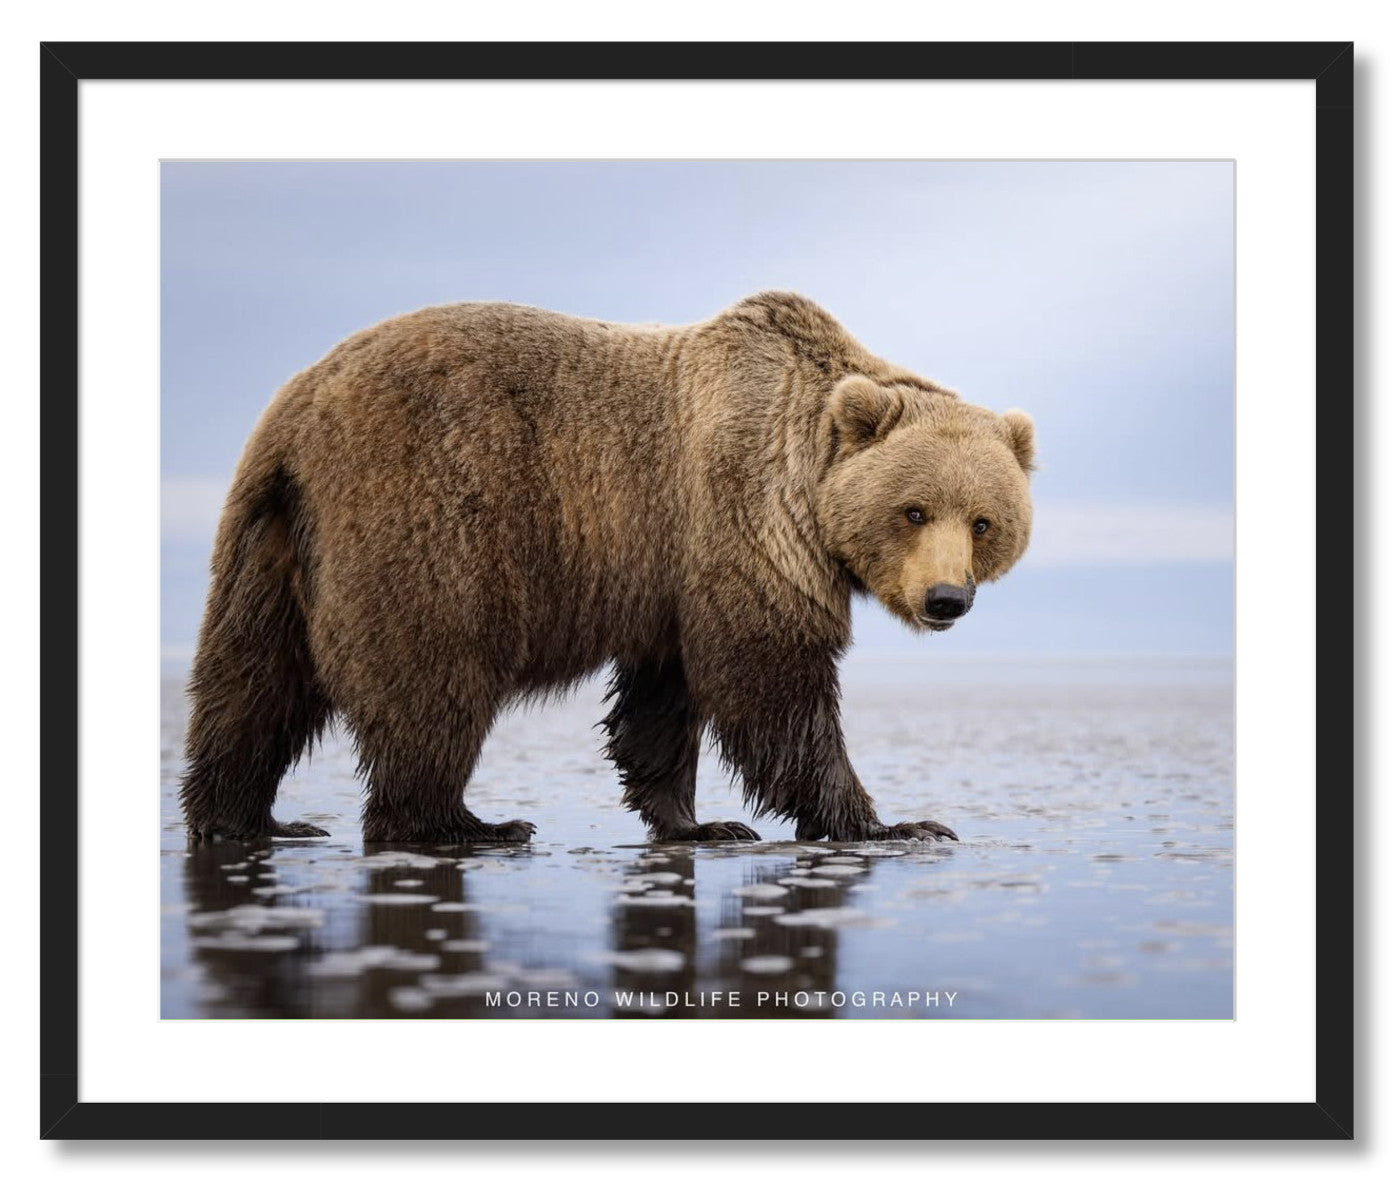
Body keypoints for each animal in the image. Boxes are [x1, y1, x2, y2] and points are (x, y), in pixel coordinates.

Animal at [179, 292, 1035, 845]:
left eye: (984, 521)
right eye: (914, 510)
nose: (946, 598)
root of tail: (298, 411)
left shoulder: (669, 573)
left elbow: (664, 698)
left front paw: (698, 822)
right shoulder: (742, 518)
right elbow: (771, 679)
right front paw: (896, 823)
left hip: (270, 541)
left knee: (252, 682)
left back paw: (249, 818)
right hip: (425, 512)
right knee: (433, 676)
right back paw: (463, 823)